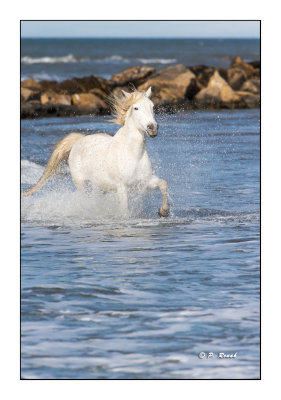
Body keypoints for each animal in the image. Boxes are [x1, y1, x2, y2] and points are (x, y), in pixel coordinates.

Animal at [21, 87, 168, 217]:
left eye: (152, 106)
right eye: (136, 108)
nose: (152, 128)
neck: (133, 154)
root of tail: (78, 141)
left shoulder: (144, 182)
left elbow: (163, 184)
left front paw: (163, 211)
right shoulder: (122, 188)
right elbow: (124, 211)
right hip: (82, 184)